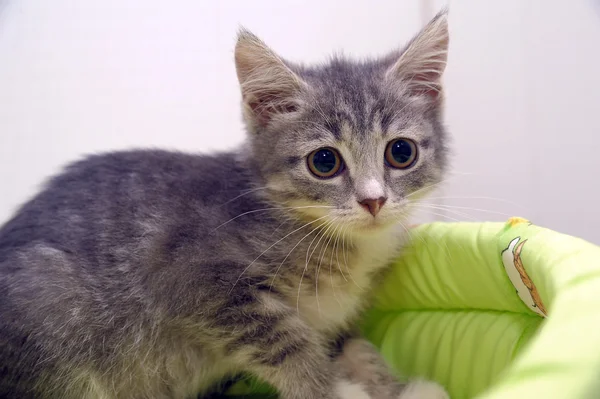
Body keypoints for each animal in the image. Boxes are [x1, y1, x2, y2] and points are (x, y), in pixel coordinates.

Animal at [0, 9, 450, 399]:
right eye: (324, 162)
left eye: (401, 152)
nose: (373, 200)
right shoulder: (192, 279)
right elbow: (288, 341)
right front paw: (333, 390)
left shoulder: (334, 322)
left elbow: (357, 347)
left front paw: (397, 387)